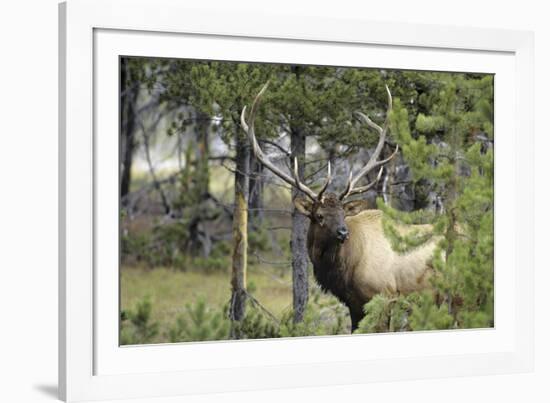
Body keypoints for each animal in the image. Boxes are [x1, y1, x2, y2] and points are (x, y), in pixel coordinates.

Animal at [242, 82, 440, 332]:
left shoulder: (384, 296)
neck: (345, 271)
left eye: (343, 214)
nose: (342, 232)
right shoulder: (353, 304)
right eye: (319, 215)